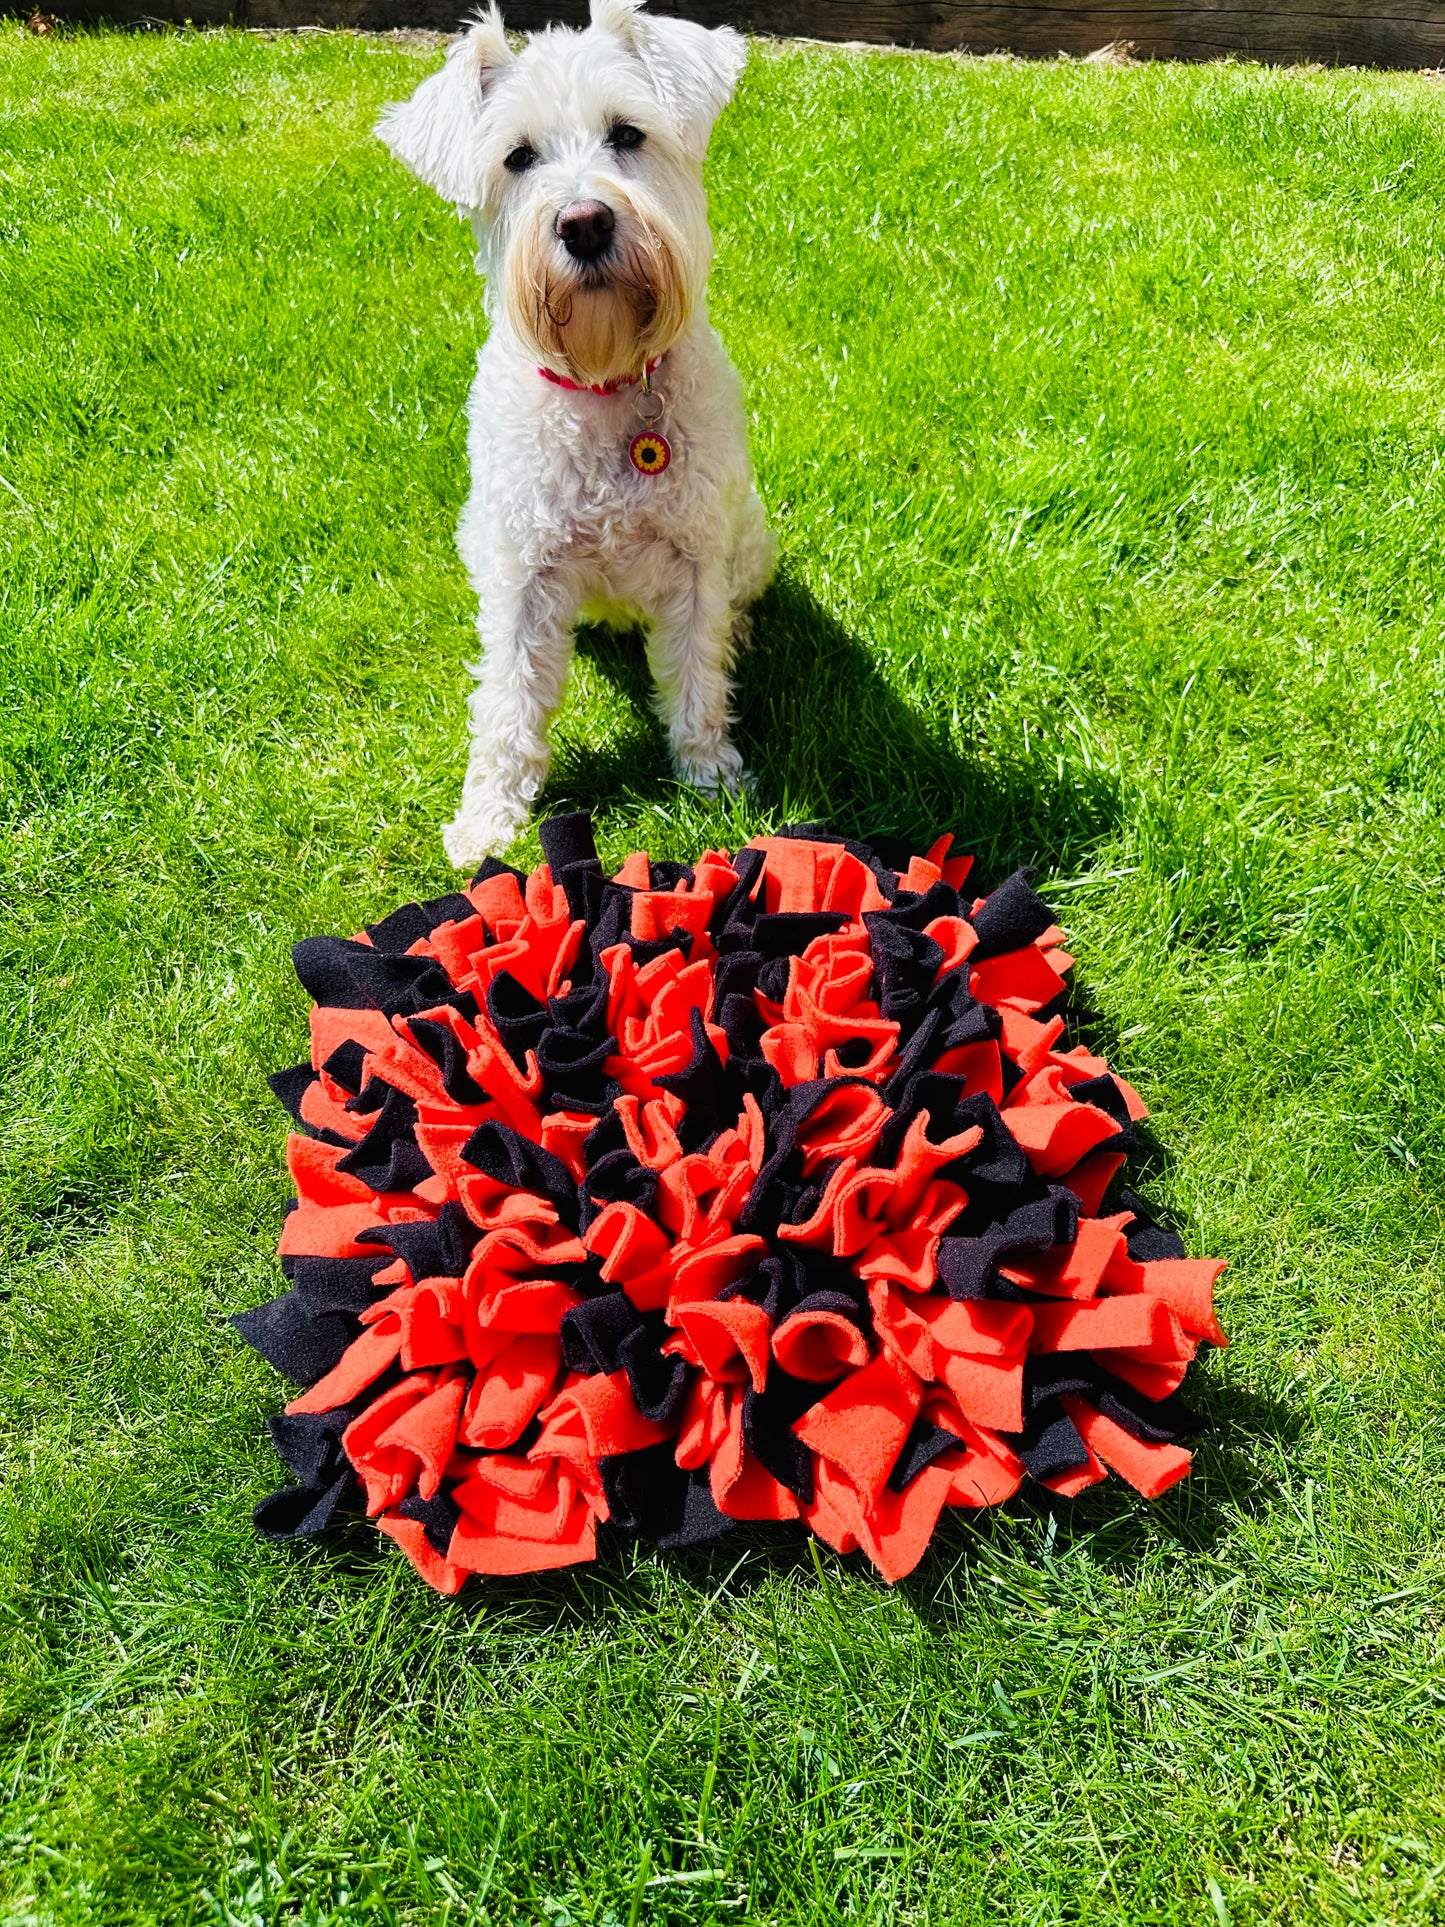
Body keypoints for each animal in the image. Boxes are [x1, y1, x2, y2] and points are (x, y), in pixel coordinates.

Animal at [379, 0, 774, 867]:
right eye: (517, 156)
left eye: (627, 133)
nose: (584, 221)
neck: (607, 379)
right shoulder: (524, 573)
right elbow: (508, 703)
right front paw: (486, 819)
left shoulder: (697, 556)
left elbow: (696, 673)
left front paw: (711, 772)